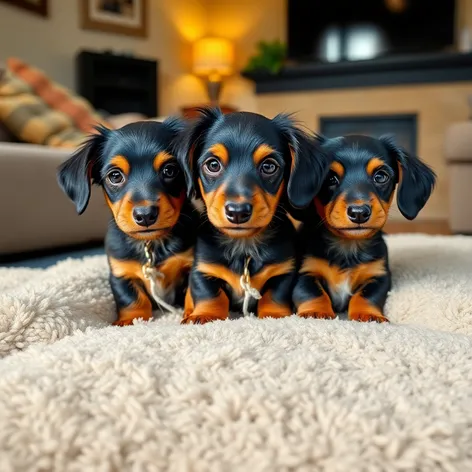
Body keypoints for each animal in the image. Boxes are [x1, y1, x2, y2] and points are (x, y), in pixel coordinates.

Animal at [57, 119, 197, 324]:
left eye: (170, 170)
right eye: (115, 176)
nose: (145, 214)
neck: (151, 245)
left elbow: (193, 291)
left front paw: (195, 314)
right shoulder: (121, 272)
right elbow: (132, 299)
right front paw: (130, 321)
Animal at [177, 107, 328, 324]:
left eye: (269, 166)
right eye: (213, 165)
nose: (237, 212)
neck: (244, 247)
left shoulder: (284, 271)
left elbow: (274, 296)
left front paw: (274, 316)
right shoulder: (203, 269)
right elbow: (209, 294)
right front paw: (205, 315)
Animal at [296, 135, 436, 322]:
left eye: (381, 176)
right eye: (330, 178)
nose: (359, 213)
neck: (348, 247)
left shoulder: (378, 275)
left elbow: (366, 295)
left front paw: (368, 314)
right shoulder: (305, 271)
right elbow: (312, 292)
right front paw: (316, 312)